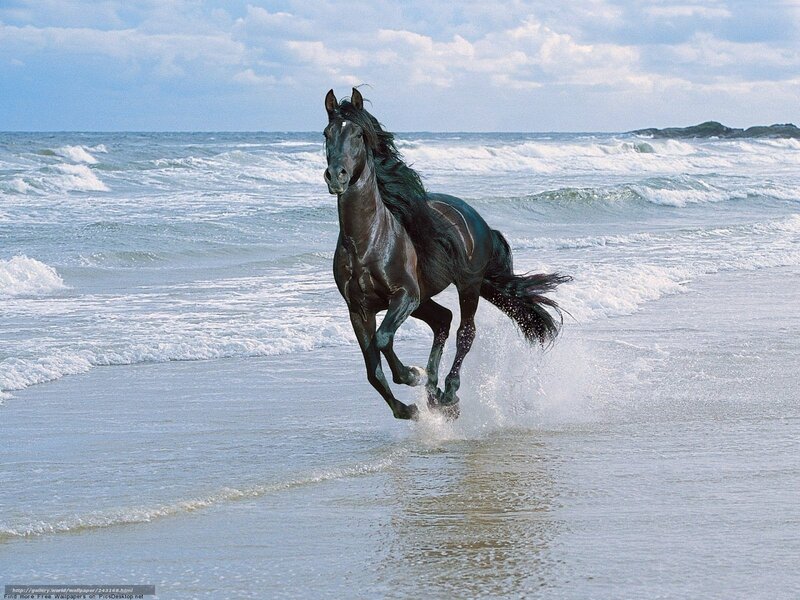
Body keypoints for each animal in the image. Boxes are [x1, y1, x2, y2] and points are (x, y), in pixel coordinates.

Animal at [324, 88, 570, 420]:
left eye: (358, 134)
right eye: (327, 134)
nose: (336, 176)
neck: (367, 242)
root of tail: (477, 220)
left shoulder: (404, 295)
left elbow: (384, 339)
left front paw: (411, 375)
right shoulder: (358, 309)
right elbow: (372, 370)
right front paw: (408, 408)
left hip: (467, 286)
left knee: (465, 332)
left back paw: (449, 392)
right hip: (425, 299)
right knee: (443, 320)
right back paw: (434, 393)